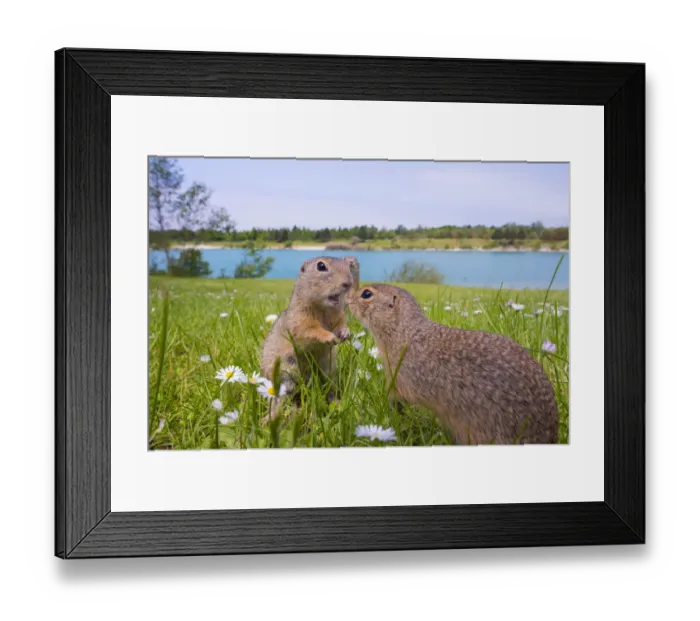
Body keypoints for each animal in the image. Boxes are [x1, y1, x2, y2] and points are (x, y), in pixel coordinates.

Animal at [260, 255, 359, 424]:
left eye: (348, 265)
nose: (348, 283)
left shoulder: (339, 316)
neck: (324, 308)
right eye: (321, 266)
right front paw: (329, 337)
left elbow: (341, 324)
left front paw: (345, 333)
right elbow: (310, 331)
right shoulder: (300, 320)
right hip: (287, 369)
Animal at [347, 283, 559, 445]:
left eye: (366, 293)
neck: (406, 332)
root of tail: (551, 436)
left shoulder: (400, 376)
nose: (347, 297)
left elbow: (397, 397)